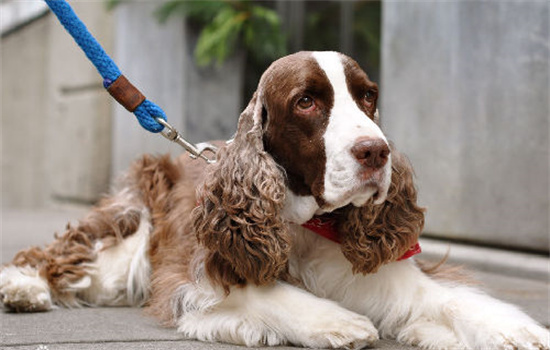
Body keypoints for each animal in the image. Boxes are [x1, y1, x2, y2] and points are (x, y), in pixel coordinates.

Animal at [2, 52, 548, 350]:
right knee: (63, 254)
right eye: (306, 101)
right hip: (130, 228)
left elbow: (452, 300)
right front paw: (339, 321)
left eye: (368, 96)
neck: (309, 222)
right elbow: (264, 291)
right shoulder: (196, 275)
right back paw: (24, 287)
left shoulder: (388, 274)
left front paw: (519, 331)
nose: (376, 151)